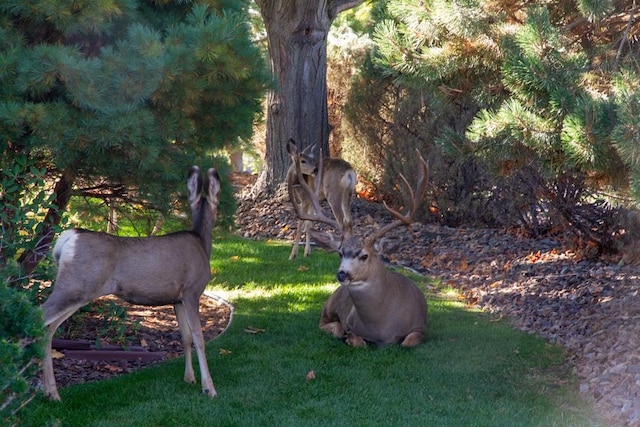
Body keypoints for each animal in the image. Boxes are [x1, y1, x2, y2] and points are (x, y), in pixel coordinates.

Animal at [41, 166, 220, 402]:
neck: (201, 243)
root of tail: (68, 238)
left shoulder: (177, 299)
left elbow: (186, 337)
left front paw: (189, 378)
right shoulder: (192, 291)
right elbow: (199, 338)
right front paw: (209, 388)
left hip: (76, 290)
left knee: (48, 329)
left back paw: (50, 392)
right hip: (74, 286)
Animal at [292, 151, 430, 348]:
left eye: (365, 256)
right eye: (340, 253)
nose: (342, 274)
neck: (380, 327)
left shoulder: (420, 329)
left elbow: (407, 342)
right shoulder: (351, 324)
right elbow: (359, 341)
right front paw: (349, 337)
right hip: (330, 305)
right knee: (326, 324)